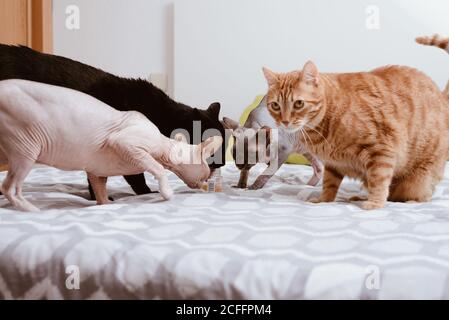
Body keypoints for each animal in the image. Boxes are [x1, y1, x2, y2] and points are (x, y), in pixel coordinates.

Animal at [260, 60, 448, 210]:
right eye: (275, 105)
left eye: (298, 104)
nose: (285, 122)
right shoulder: (333, 164)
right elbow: (329, 184)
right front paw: (323, 200)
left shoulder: (380, 151)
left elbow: (379, 181)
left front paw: (376, 203)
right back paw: (360, 196)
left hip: (417, 182)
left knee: (418, 196)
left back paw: (409, 202)